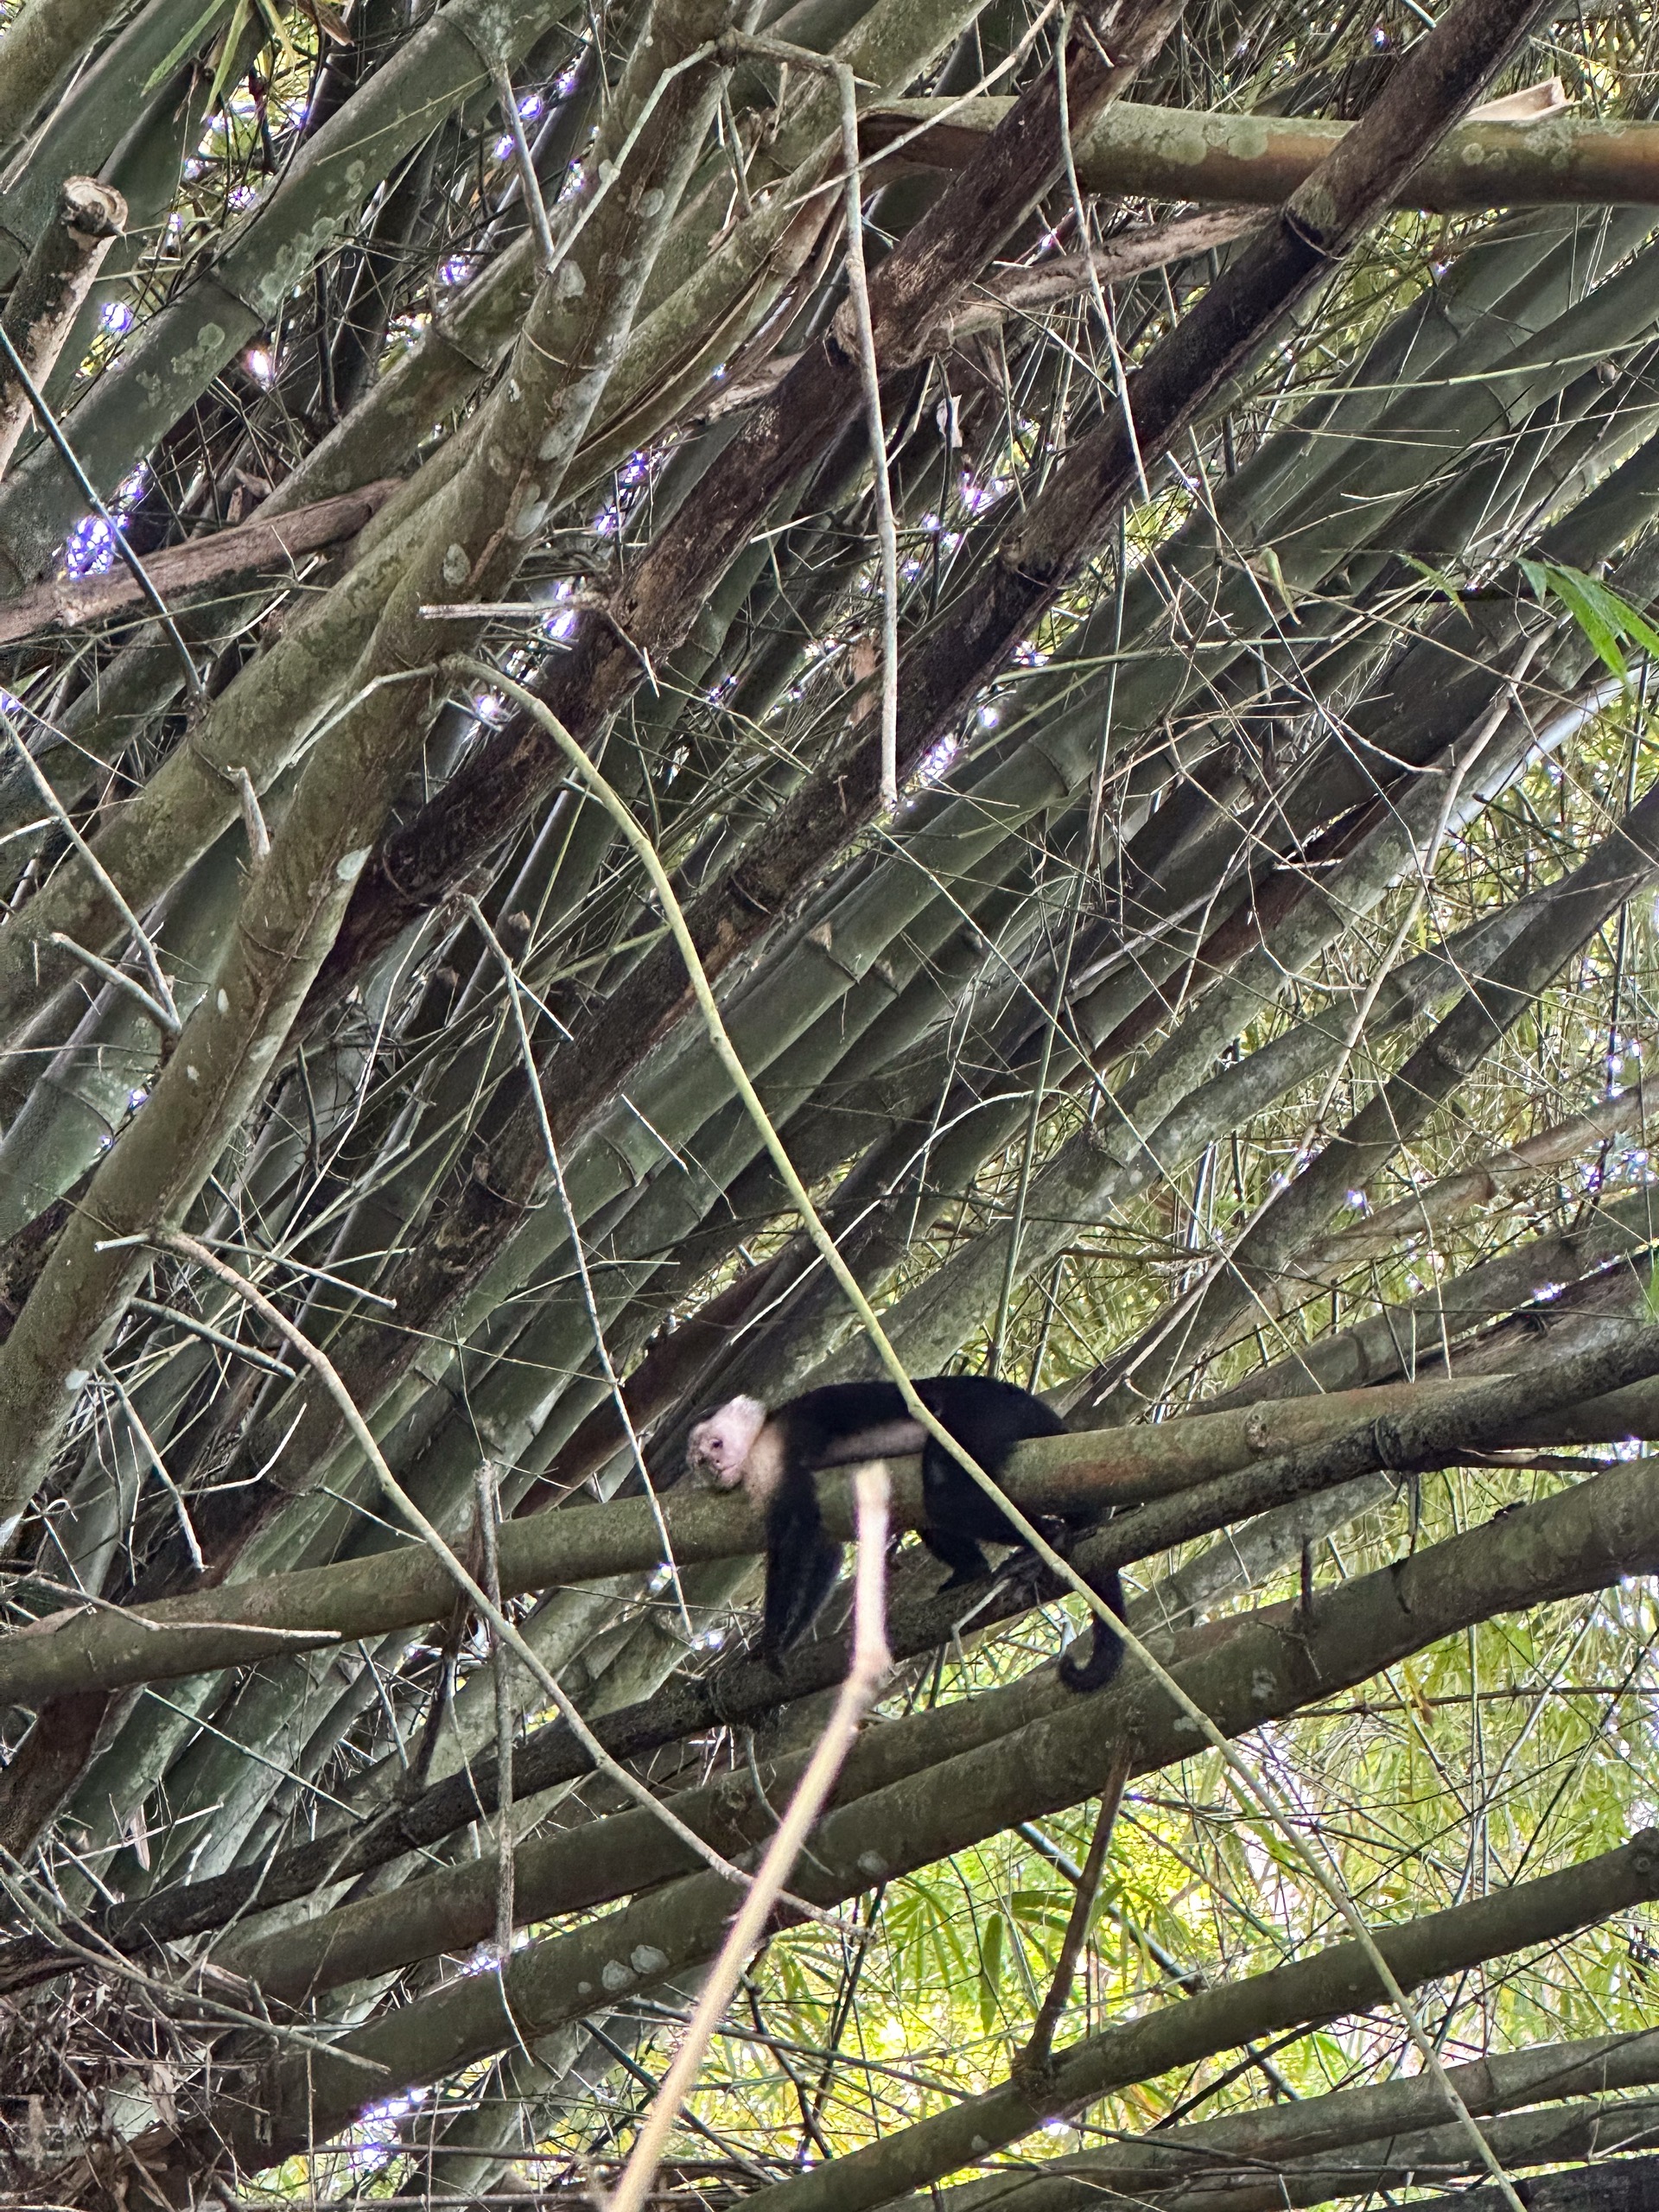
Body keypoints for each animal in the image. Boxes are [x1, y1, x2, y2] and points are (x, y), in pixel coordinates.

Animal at [686, 1375, 1124, 1691]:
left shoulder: (773, 1455)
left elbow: (800, 1535)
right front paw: (787, 1641)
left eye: (715, 1444)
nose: (711, 1466)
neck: (763, 1433)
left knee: (945, 1489)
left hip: (984, 1413)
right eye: (699, 1459)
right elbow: (824, 1548)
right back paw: (974, 1570)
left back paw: (1048, 1539)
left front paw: (772, 1642)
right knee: (932, 1512)